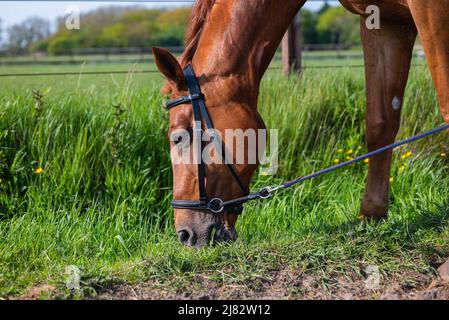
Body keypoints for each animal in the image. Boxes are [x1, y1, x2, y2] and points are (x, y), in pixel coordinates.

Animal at [152, 0, 448, 248]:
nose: (184, 234)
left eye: (178, 138)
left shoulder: (429, 10)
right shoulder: (384, 20)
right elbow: (380, 122)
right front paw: (372, 215)